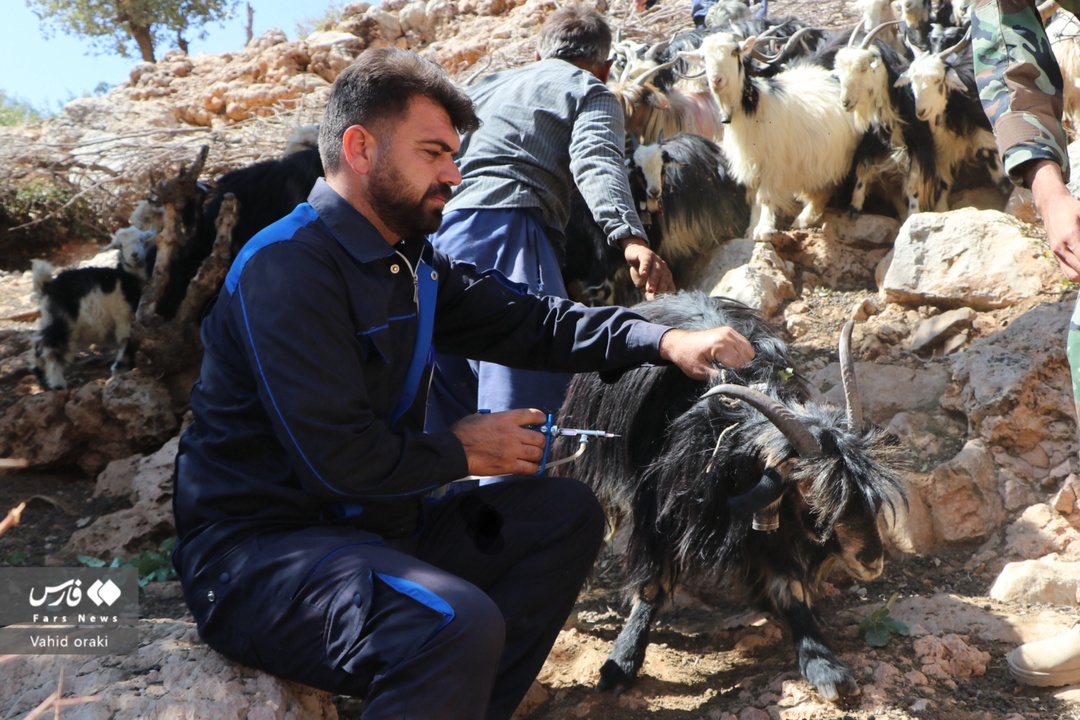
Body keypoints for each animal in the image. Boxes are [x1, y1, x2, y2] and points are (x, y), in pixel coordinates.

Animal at [29, 227, 157, 390]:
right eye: (120, 246)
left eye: (141, 240)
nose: (134, 255)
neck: (126, 279)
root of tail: (47, 286)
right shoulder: (124, 316)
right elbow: (126, 339)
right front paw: (120, 368)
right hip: (63, 319)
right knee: (50, 347)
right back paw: (57, 383)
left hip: (50, 318)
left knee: (38, 343)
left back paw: (41, 375)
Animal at [561, 289, 907, 699]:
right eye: (812, 498)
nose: (872, 561)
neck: (725, 438)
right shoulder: (662, 506)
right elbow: (652, 584)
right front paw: (623, 661)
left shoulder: (770, 518)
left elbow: (789, 587)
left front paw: (823, 663)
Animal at [682, 32, 868, 241]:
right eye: (703, 57)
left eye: (734, 51)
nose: (716, 80)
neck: (753, 107)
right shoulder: (751, 164)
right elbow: (753, 197)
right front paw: (751, 228)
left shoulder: (773, 163)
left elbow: (764, 197)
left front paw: (764, 229)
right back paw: (803, 219)